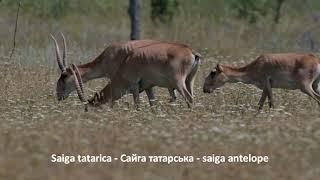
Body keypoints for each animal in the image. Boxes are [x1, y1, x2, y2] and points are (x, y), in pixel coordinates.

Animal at [50, 33, 200, 109]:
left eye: (64, 75)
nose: (59, 96)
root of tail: (191, 51)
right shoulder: (148, 87)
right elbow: (152, 104)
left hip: (178, 83)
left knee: (189, 99)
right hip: (188, 81)